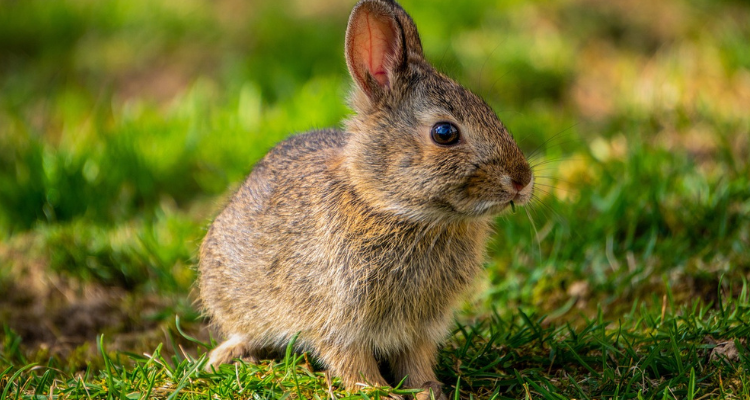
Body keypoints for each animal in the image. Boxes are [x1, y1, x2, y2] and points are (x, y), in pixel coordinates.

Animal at [200, 0, 536, 400]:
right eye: (445, 133)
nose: (522, 180)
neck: (392, 209)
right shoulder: (337, 318)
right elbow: (350, 360)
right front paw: (377, 391)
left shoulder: (420, 327)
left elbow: (416, 360)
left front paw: (428, 390)